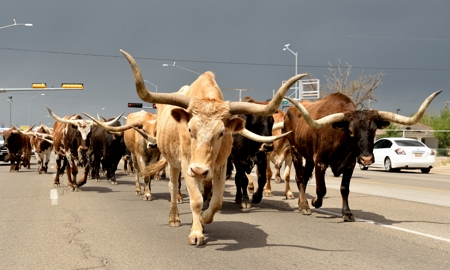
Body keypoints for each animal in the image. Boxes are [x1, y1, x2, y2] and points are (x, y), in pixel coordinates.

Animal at [120, 49, 302, 246]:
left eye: (221, 133)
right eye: (190, 129)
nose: (199, 170)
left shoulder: (222, 165)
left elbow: (216, 201)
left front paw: (203, 219)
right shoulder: (188, 164)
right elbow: (196, 200)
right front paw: (196, 233)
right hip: (173, 162)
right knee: (173, 186)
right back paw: (174, 217)